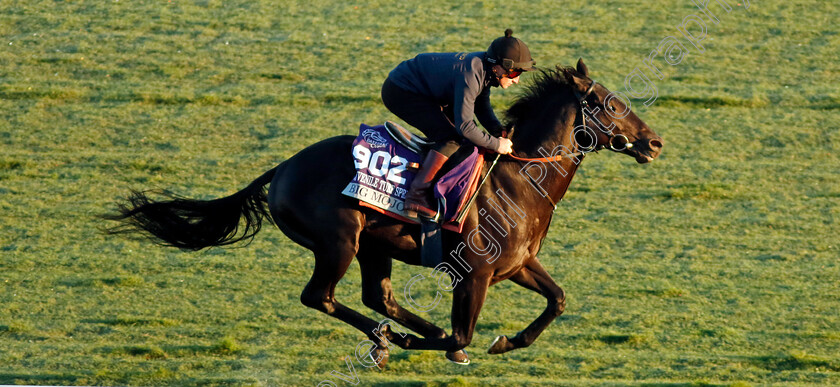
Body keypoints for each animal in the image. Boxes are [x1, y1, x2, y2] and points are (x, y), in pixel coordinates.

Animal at [106, 59, 664, 368]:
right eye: (611, 105)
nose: (654, 143)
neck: (520, 179)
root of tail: (282, 167)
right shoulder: (475, 272)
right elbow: (463, 335)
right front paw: (444, 344)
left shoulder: (517, 264)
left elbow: (558, 300)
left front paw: (506, 341)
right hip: (339, 241)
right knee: (321, 297)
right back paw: (392, 338)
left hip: (374, 246)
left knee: (378, 296)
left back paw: (396, 335)